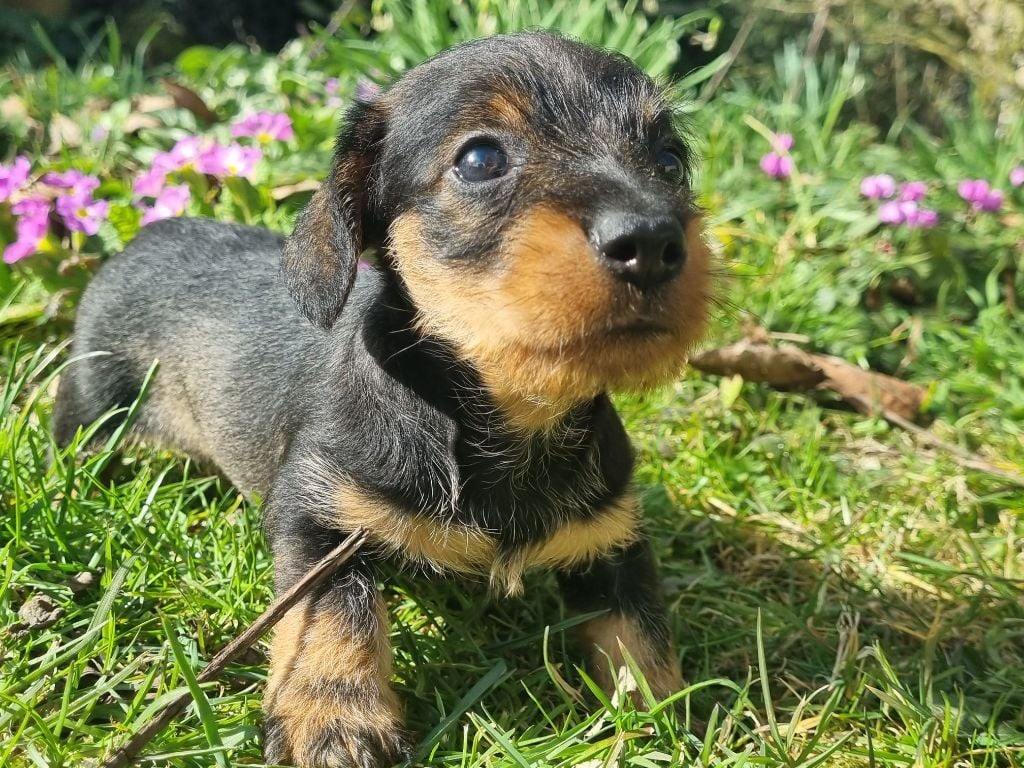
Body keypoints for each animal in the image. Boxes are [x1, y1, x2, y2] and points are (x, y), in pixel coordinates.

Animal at [51, 31, 712, 768]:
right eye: (480, 159)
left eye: (670, 158)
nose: (651, 242)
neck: (511, 416)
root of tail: (141, 239)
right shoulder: (314, 512)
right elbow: (336, 612)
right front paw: (333, 718)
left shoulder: (614, 538)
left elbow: (641, 632)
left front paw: (666, 715)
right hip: (96, 409)